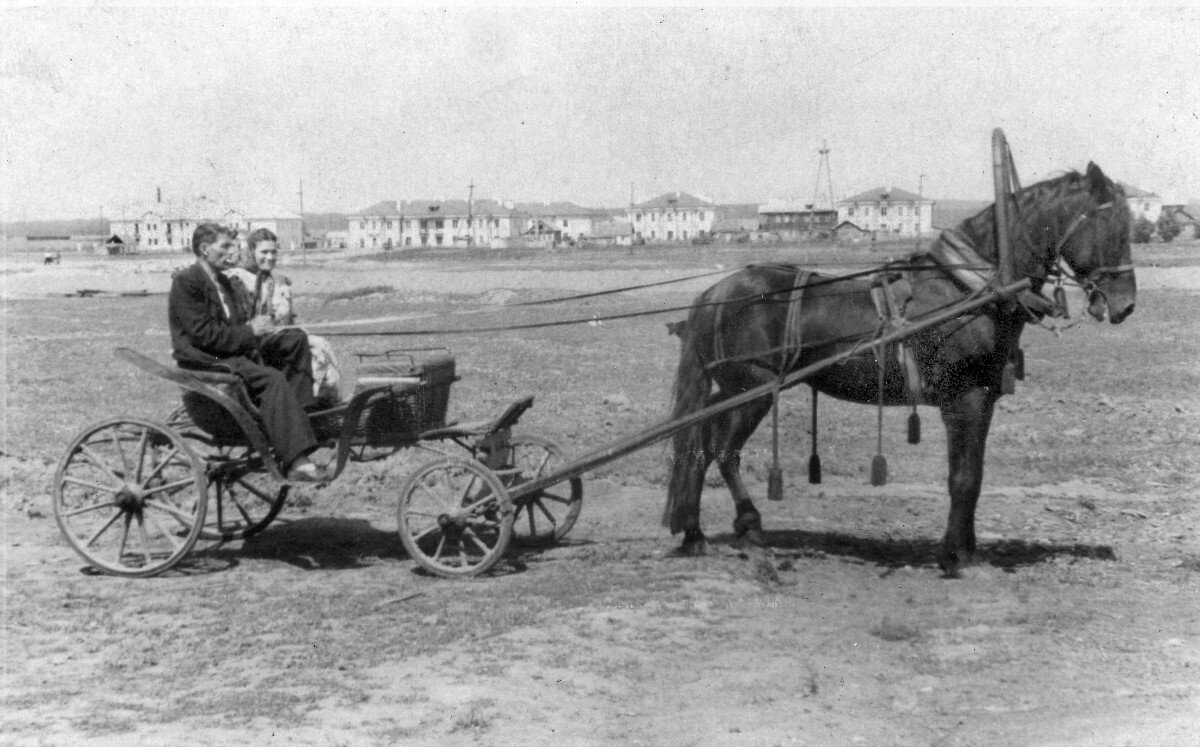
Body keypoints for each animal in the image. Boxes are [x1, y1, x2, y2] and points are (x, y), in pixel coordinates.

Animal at [667, 160, 1132, 576]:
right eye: (1112, 226)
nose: (1125, 304)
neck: (970, 289)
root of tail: (714, 292)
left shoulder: (982, 399)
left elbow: (974, 475)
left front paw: (965, 549)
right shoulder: (964, 398)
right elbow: (963, 478)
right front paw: (956, 558)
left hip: (730, 390)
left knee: (697, 445)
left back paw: (694, 534)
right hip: (753, 390)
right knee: (723, 452)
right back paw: (748, 526)